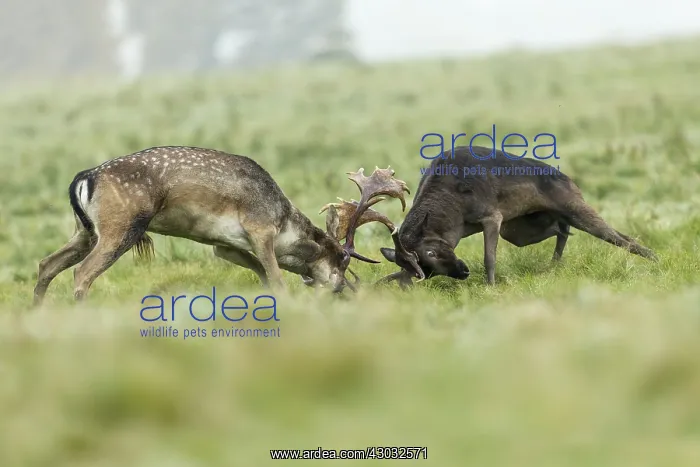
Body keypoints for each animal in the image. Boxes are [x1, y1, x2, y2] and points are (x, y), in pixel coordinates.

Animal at [32, 146, 410, 306]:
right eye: (341, 260)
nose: (343, 288)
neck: (282, 219)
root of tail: (83, 178)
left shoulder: (223, 245)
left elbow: (261, 274)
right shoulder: (259, 228)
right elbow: (275, 276)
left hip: (85, 231)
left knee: (47, 263)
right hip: (121, 226)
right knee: (82, 272)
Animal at [377, 145, 658, 288]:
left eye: (431, 253)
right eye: (422, 270)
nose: (463, 271)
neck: (449, 198)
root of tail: (567, 178)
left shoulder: (492, 218)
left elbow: (489, 258)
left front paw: (490, 287)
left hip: (575, 209)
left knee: (621, 238)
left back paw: (656, 259)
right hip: (518, 231)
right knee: (561, 230)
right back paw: (553, 265)